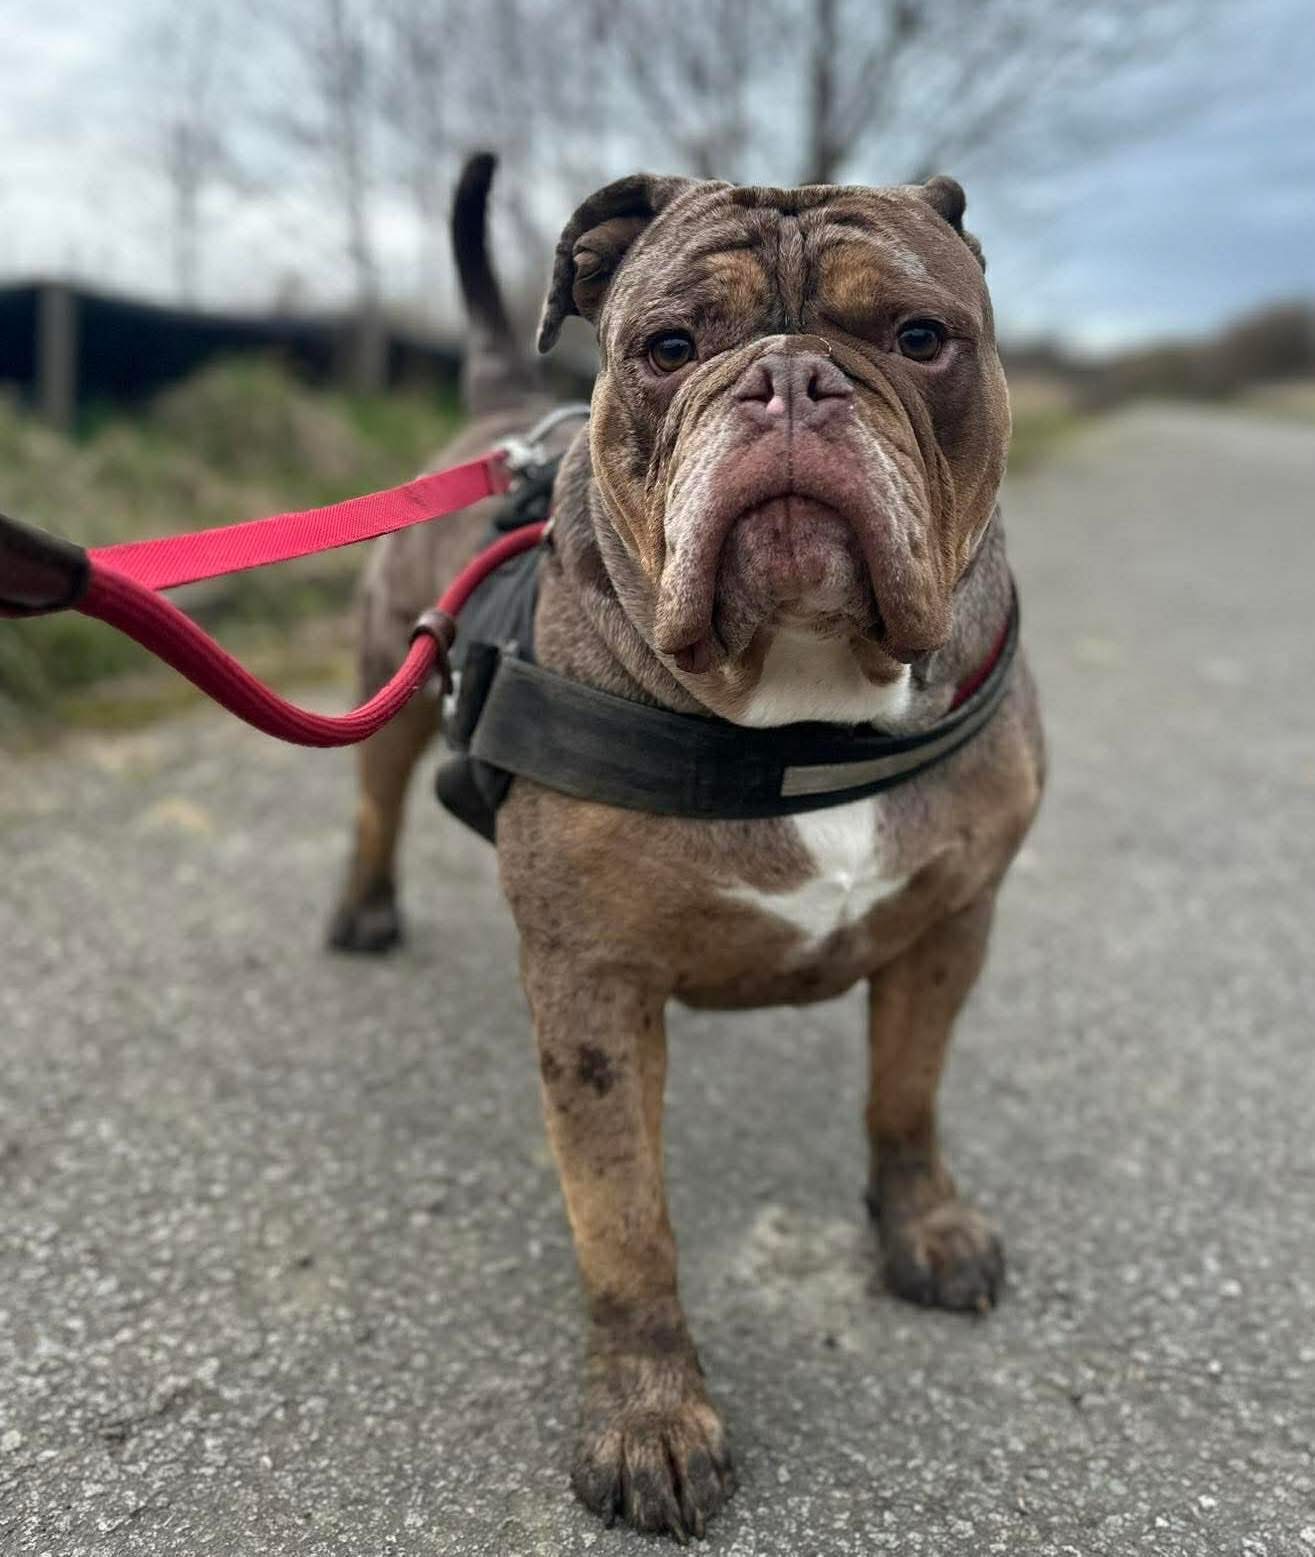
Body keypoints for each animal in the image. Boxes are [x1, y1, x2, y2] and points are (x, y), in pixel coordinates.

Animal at [328, 153, 1044, 1541]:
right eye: (669, 349)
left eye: (920, 338)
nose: (791, 379)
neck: (807, 704)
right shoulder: (592, 993)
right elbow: (624, 1223)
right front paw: (651, 1418)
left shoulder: (953, 920)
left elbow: (906, 1094)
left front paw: (923, 1228)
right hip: (391, 671)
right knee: (376, 805)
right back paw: (363, 914)